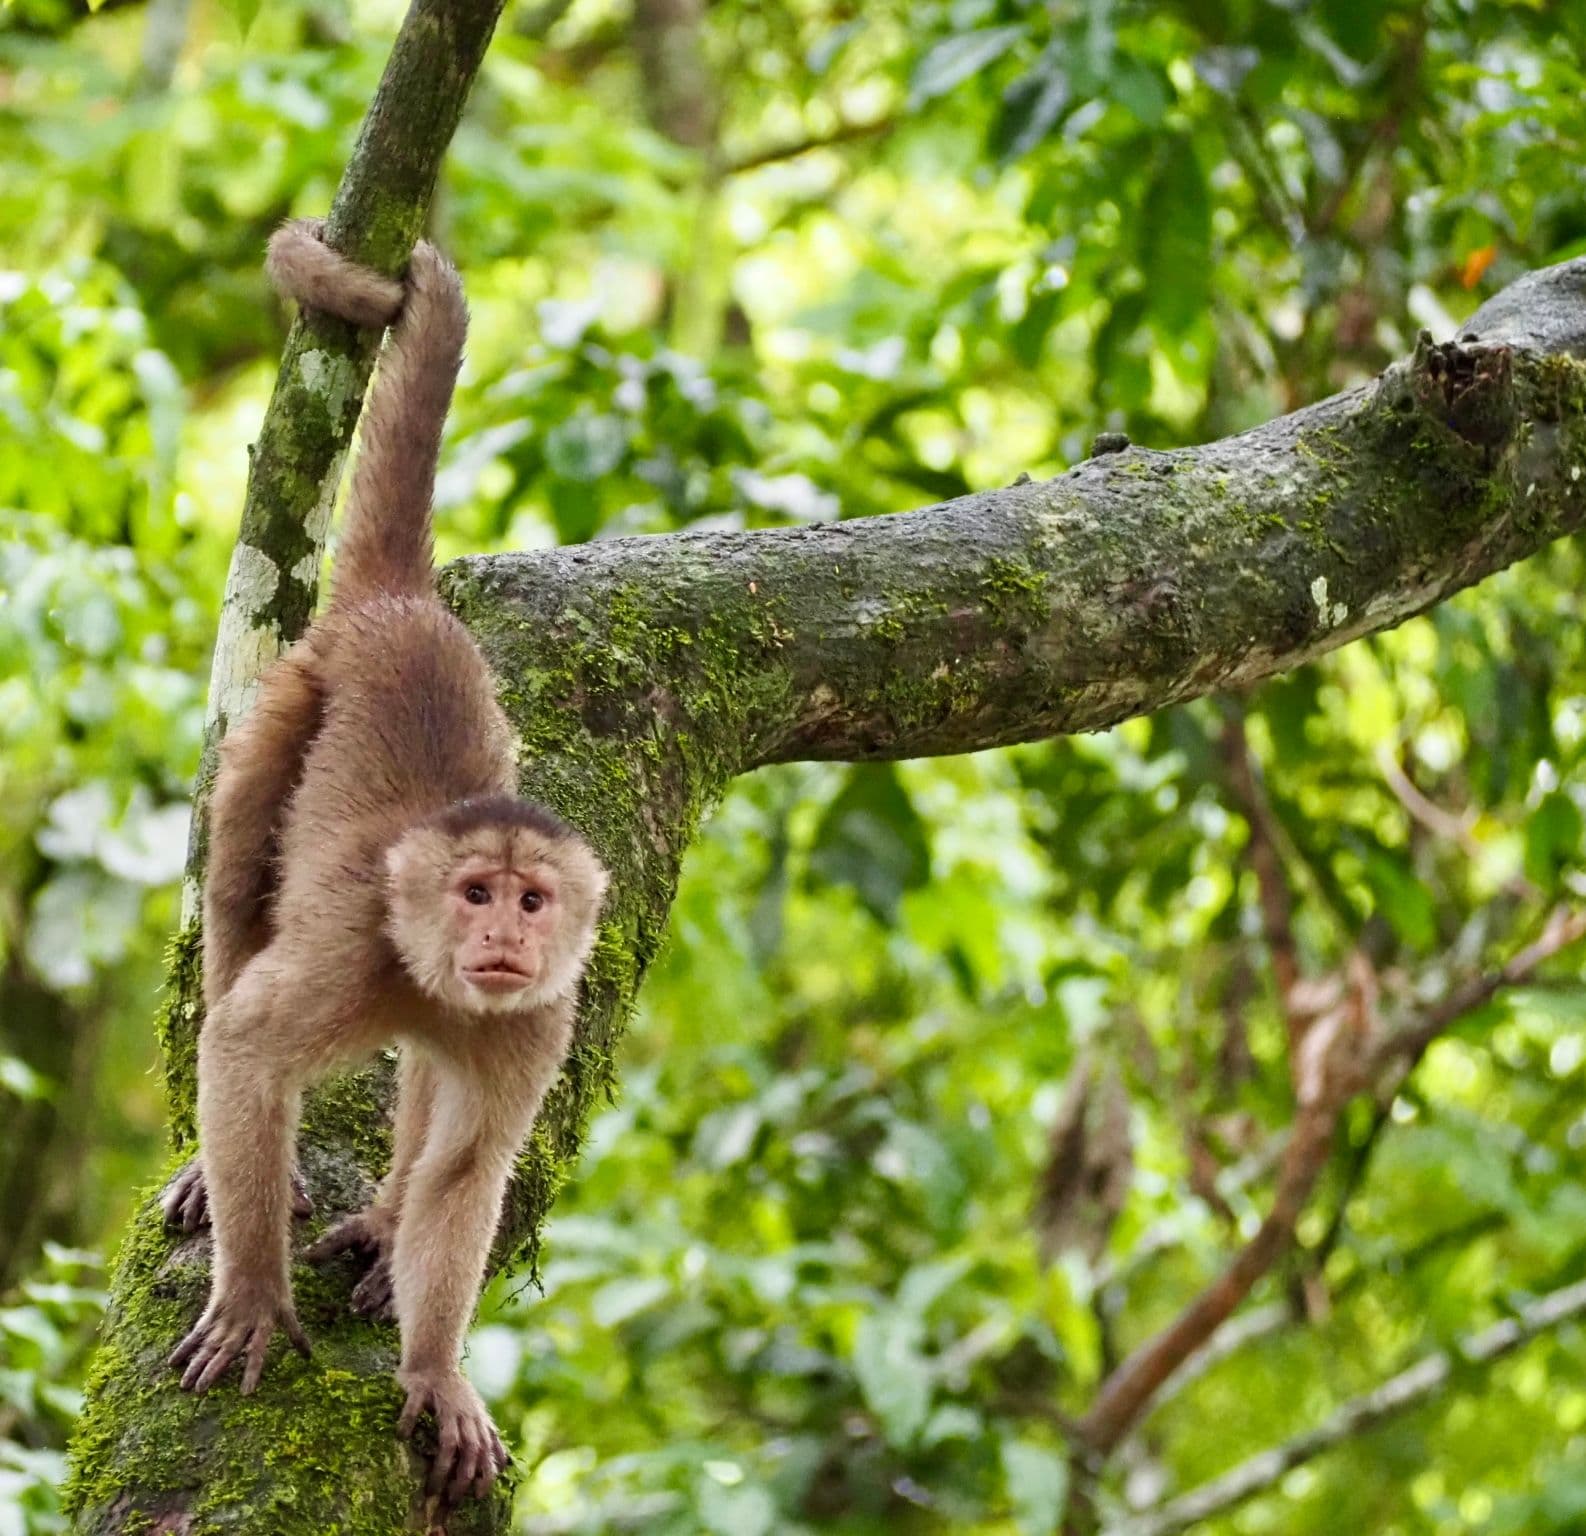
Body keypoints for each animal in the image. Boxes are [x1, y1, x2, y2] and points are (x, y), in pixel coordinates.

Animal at [163, 219, 609, 1504]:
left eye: (531, 899)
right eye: (473, 895)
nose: (502, 937)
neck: (425, 970)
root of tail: (401, 603)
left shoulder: (539, 1017)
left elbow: (469, 1171)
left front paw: (433, 1369)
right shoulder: (354, 950)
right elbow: (243, 1050)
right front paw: (253, 1296)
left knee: (428, 1090)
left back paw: (384, 1220)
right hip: (286, 691)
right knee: (236, 877)